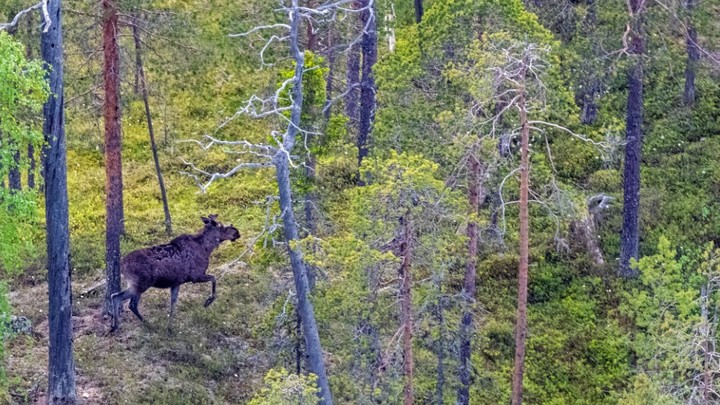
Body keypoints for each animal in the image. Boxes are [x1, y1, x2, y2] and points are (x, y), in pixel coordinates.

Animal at [109, 213, 239, 330]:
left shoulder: (176, 283)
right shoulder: (196, 275)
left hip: (136, 284)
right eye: (221, 226)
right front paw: (208, 301)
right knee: (127, 302)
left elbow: (172, 305)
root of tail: (122, 265)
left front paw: (170, 328)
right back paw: (147, 325)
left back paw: (115, 326)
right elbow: (214, 278)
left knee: (116, 296)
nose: (237, 232)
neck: (207, 249)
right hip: (141, 284)